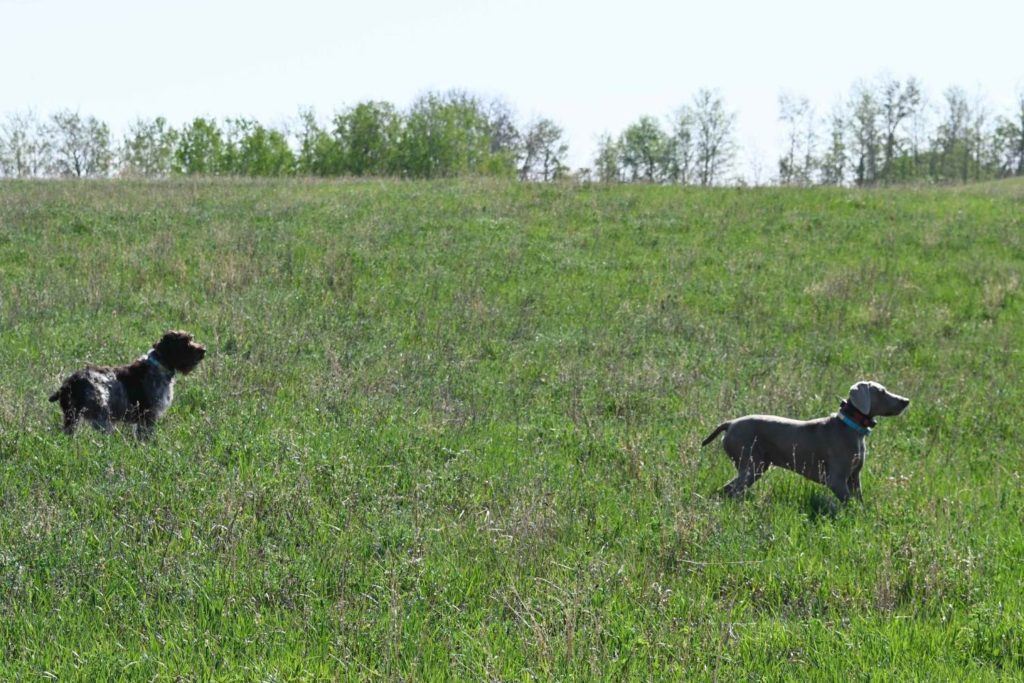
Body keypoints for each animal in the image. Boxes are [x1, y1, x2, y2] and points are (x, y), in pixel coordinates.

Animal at [49, 331, 205, 438]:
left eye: (191, 339)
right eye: (185, 342)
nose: (203, 350)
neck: (159, 365)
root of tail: (69, 384)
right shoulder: (147, 415)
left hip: (71, 417)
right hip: (101, 417)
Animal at [700, 378, 909, 501]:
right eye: (882, 391)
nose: (906, 401)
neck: (852, 425)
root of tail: (730, 423)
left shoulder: (854, 477)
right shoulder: (837, 479)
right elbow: (849, 504)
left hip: (756, 465)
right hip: (750, 465)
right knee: (730, 490)